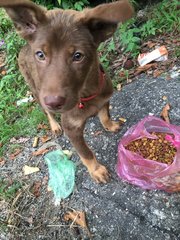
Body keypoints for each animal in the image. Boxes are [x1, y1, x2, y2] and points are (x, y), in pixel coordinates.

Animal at [0, 0, 134, 182]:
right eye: (40, 54)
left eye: (78, 56)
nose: (53, 102)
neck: (86, 93)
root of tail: (24, 47)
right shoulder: (72, 129)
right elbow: (86, 153)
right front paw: (96, 170)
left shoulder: (105, 98)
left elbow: (105, 114)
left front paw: (110, 125)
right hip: (36, 90)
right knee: (46, 112)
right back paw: (54, 125)